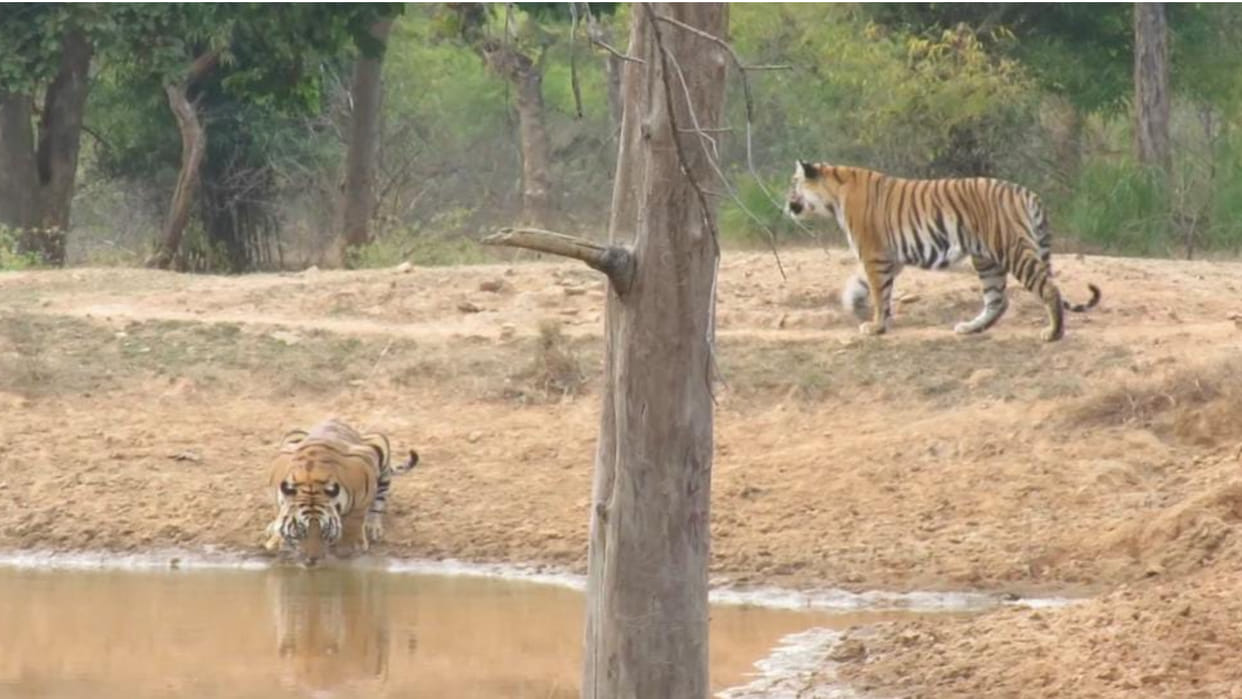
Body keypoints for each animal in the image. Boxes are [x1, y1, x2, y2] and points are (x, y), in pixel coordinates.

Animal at [264, 418, 419, 564]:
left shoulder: (364, 469)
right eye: (301, 531)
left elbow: (357, 516)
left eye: (324, 532)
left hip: (379, 444)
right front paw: (277, 540)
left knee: (379, 499)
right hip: (293, 433)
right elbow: (281, 514)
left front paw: (352, 544)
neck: (311, 480)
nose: (313, 559)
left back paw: (373, 527)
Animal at [785, 161, 1101, 342]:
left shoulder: (874, 254)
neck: (834, 195)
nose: (786, 203)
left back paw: (1053, 333)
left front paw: (875, 327)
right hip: (985, 259)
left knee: (1047, 288)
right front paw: (854, 304)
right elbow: (865, 285)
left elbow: (878, 292)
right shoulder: (890, 257)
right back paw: (971, 328)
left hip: (1011, 248)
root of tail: (1028, 193)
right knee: (998, 300)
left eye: (794, 184)